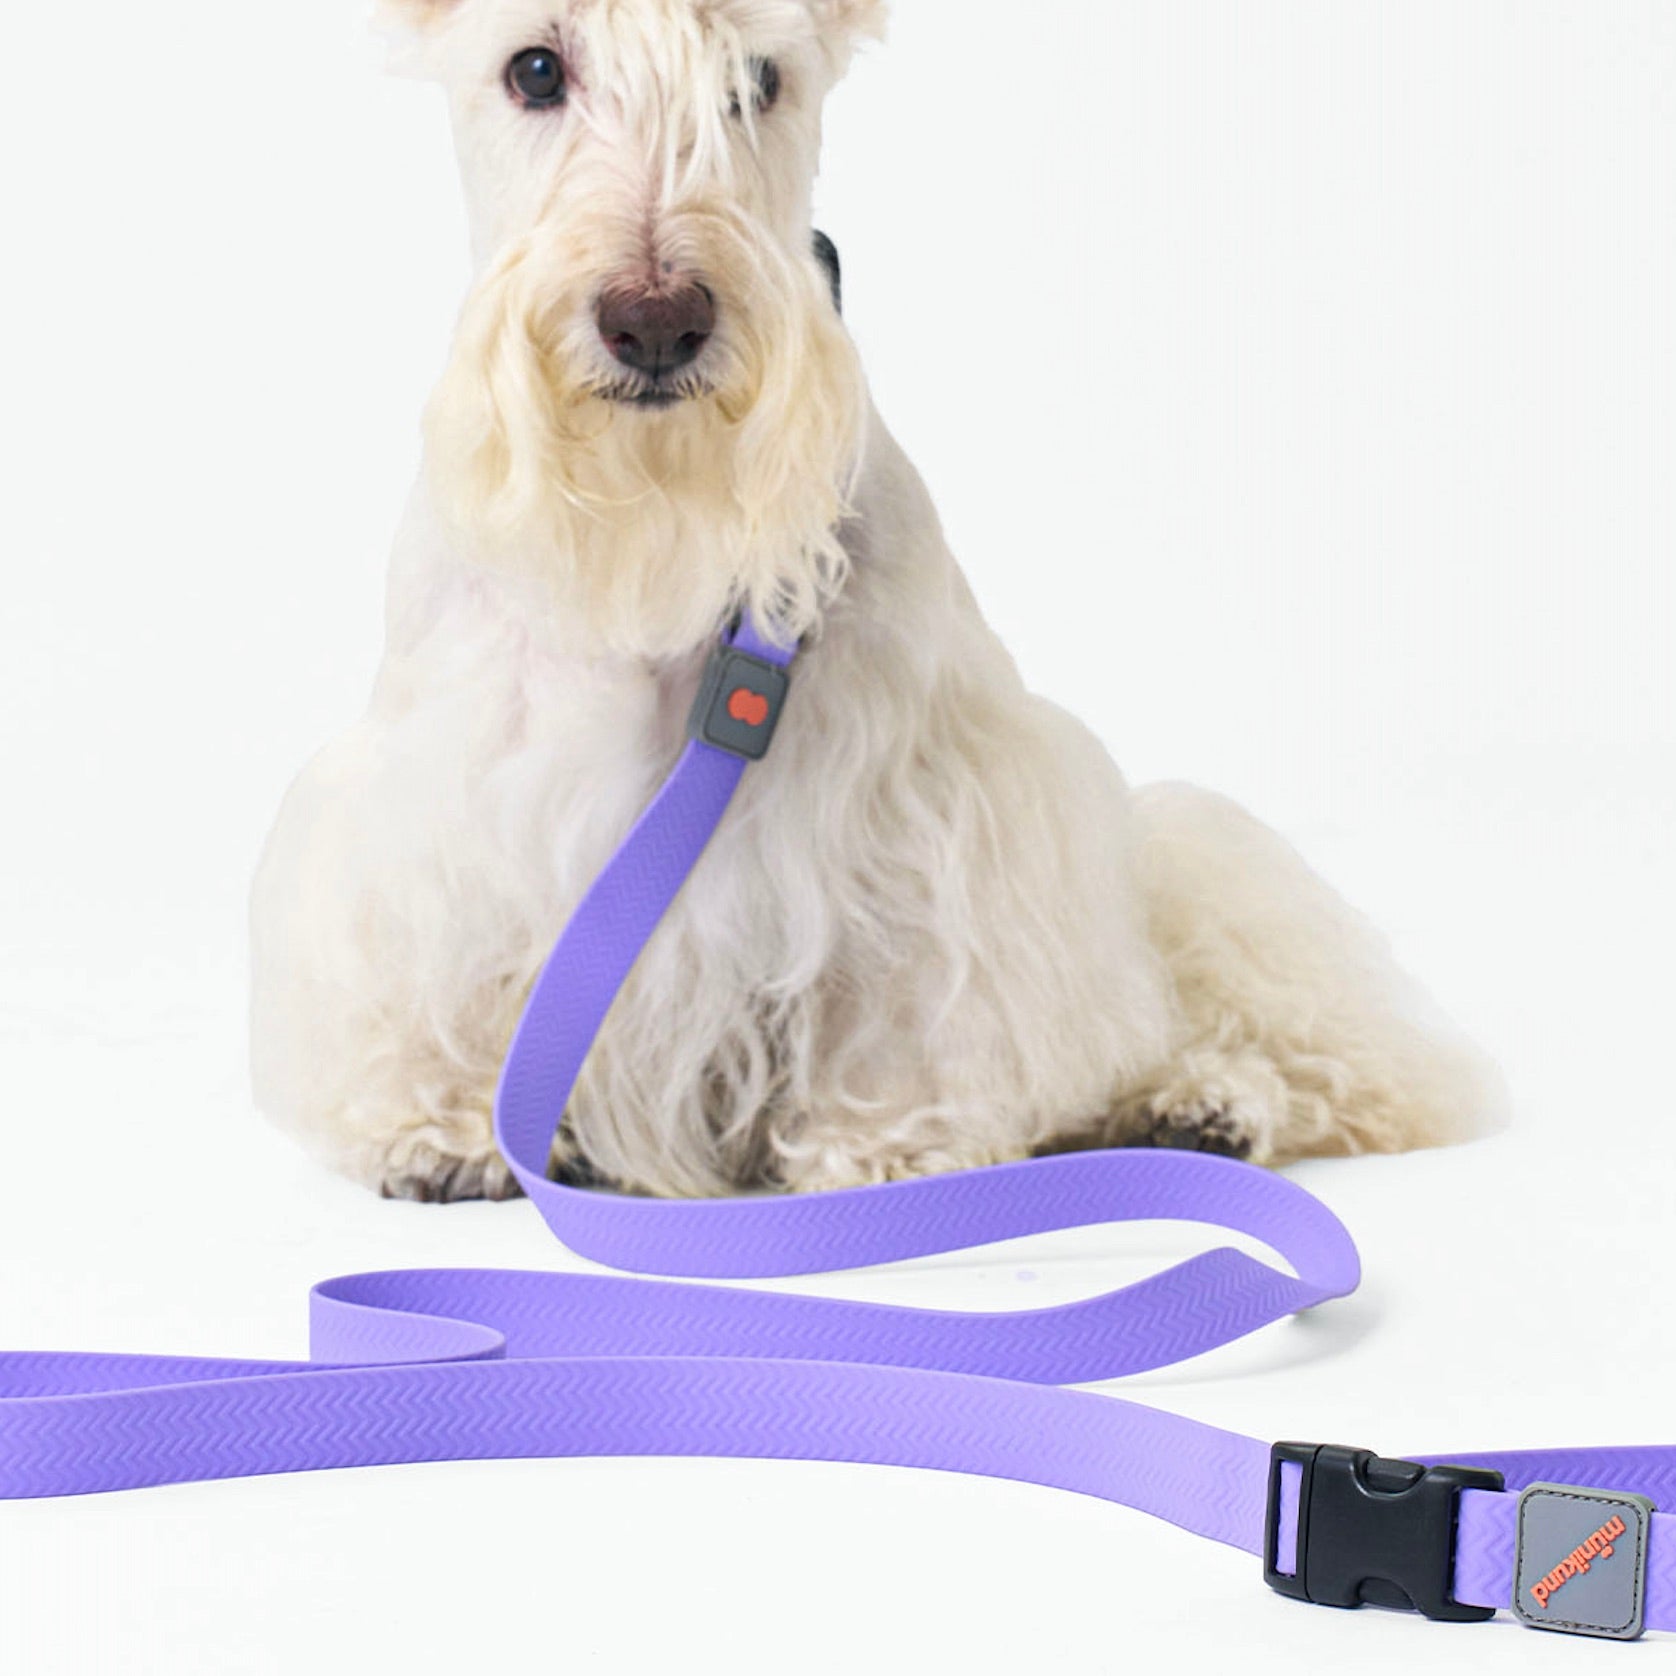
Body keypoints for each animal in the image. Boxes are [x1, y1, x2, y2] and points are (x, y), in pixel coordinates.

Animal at [249, 0, 1502, 1205]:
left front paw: (886, 1143)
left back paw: (1199, 1102)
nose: (655, 320)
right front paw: (447, 1124)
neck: (655, 528)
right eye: (535, 70)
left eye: (758, 80)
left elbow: (904, 989)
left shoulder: (920, 809)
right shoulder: (438, 804)